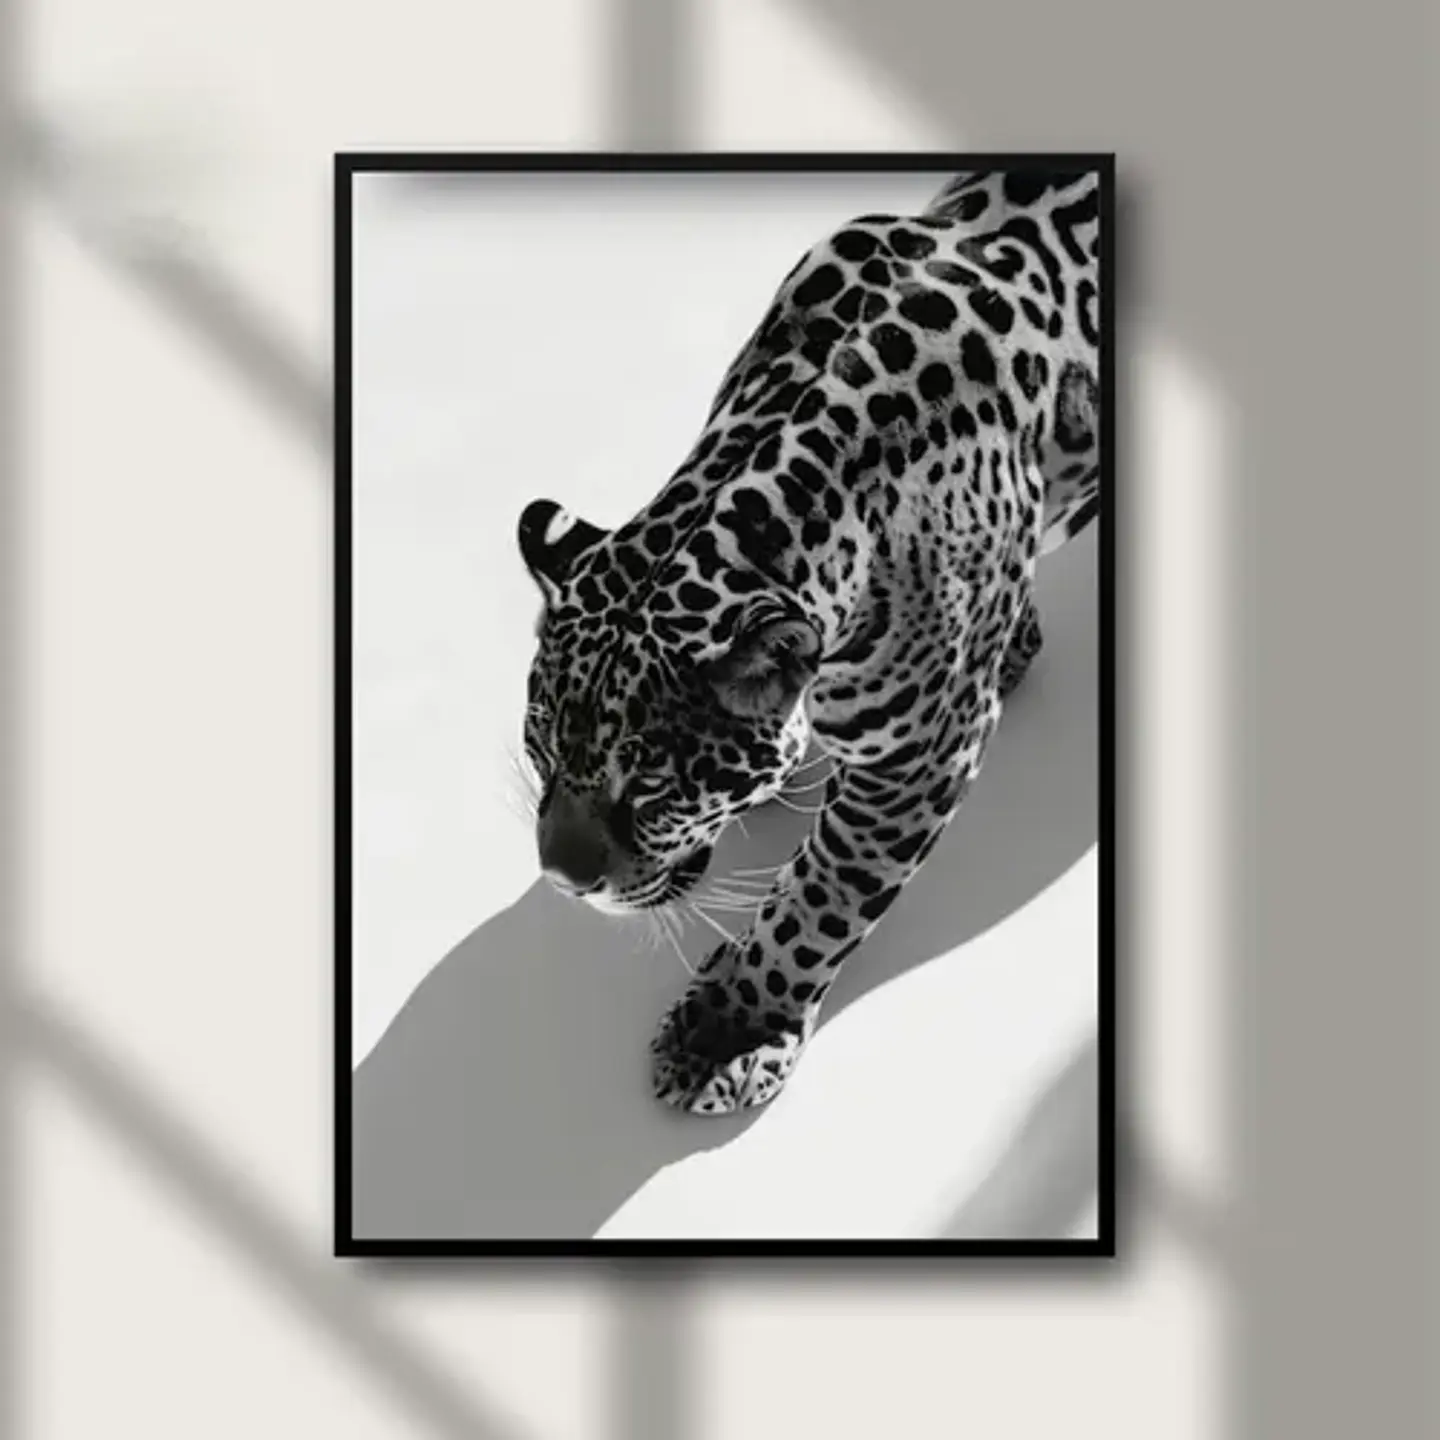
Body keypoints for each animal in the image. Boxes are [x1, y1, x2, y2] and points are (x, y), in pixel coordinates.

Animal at [514, 167, 1102, 1114]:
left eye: (650, 787)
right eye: (539, 753)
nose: (565, 880)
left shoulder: (919, 759)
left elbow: (820, 902)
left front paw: (731, 1031)